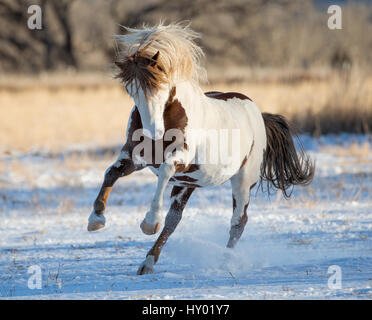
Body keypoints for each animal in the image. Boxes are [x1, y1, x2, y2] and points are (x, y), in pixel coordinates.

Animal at [86, 23, 314, 276]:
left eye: (160, 86)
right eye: (129, 90)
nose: (152, 132)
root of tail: (258, 115)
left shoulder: (179, 160)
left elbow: (164, 172)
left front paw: (149, 223)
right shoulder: (136, 157)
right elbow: (111, 173)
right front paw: (96, 219)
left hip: (243, 180)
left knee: (238, 222)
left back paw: (224, 262)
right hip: (187, 184)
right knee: (174, 220)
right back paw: (147, 263)